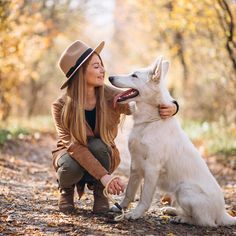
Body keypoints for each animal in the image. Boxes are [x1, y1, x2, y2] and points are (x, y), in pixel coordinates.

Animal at [109, 57, 236, 227]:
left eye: (134, 75)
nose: (110, 77)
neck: (150, 121)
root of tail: (223, 213)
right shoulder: (135, 166)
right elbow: (129, 192)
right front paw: (121, 208)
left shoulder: (151, 168)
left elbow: (144, 198)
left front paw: (135, 214)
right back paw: (172, 211)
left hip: (184, 190)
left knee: (205, 222)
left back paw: (181, 218)